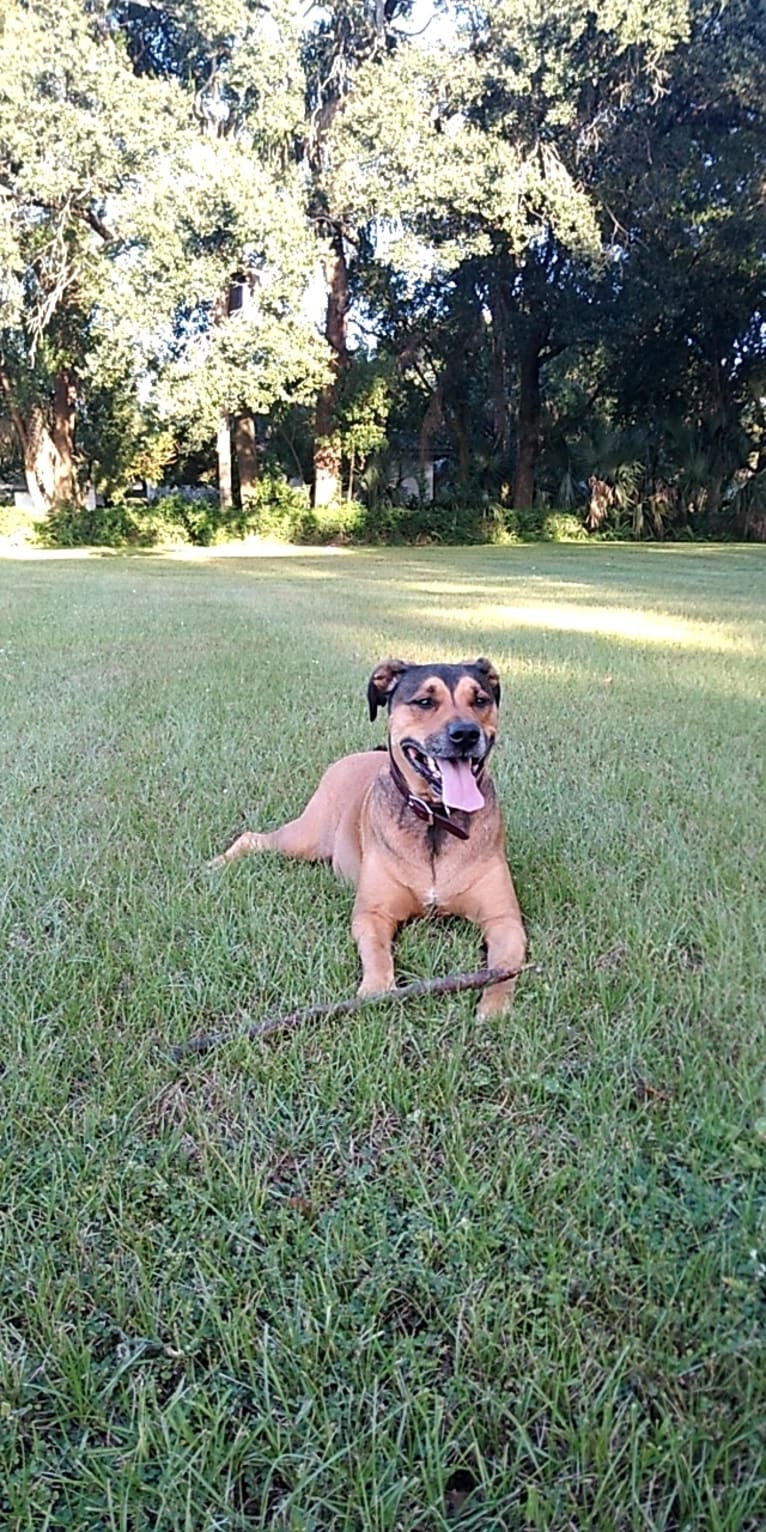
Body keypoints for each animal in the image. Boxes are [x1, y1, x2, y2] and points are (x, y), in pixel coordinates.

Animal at [214, 658, 527, 1017]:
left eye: (480, 700)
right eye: (424, 701)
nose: (465, 734)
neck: (436, 820)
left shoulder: (505, 921)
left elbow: (504, 968)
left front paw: (495, 1009)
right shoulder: (372, 914)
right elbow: (377, 950)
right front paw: (377, 990)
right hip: (307, 837)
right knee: (251, 837)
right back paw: (217, 863)